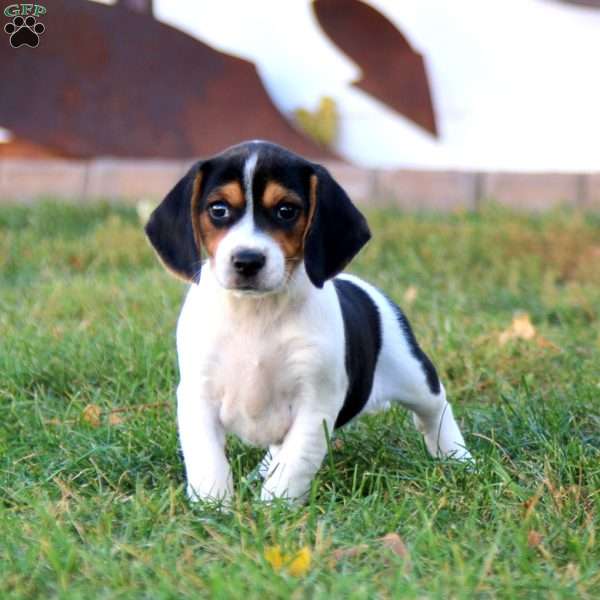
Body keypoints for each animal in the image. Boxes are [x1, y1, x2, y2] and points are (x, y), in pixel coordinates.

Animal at [144, 139, 468, 502]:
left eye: (287, 210)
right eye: (218, 209)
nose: (247, 260)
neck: (256, 313)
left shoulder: (314, 405)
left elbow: (293, 465)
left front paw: (273, 509)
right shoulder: (199, 396)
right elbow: (208, 462)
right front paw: (213, 506)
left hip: (415, 378)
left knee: (435, 411)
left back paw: (459, 458)